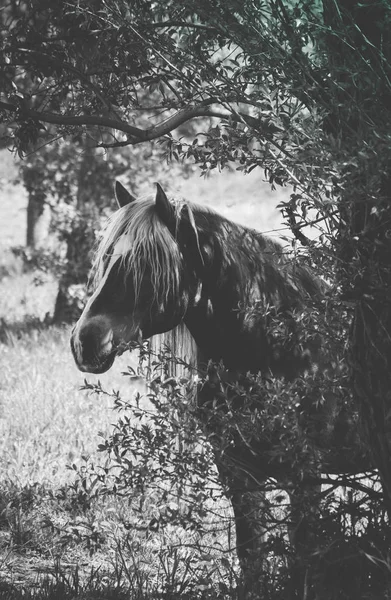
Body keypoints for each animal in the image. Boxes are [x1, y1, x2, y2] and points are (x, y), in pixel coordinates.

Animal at [71, 180, 370, 596]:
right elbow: (252, 556)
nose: (84, 341)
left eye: (146, 266)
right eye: (105, 260)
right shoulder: (238, 472)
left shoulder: (305, 475)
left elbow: (303, 558)